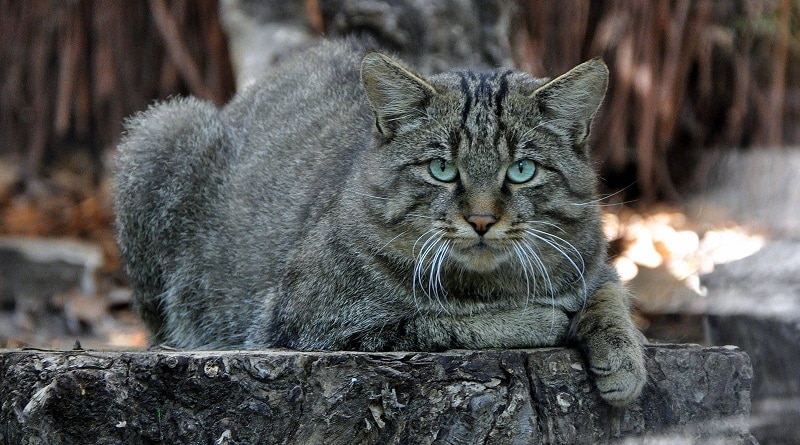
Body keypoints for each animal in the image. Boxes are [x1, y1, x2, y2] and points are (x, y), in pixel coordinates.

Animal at [115, 40, 648, 406]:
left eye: (522, 171)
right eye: (442, 169)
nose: (480, 219)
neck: (493, 283)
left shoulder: (594, 260)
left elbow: (610, 296)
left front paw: (624, 356)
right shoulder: (316, 324)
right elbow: (442, 322)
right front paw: (538, 318)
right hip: (161, 130)